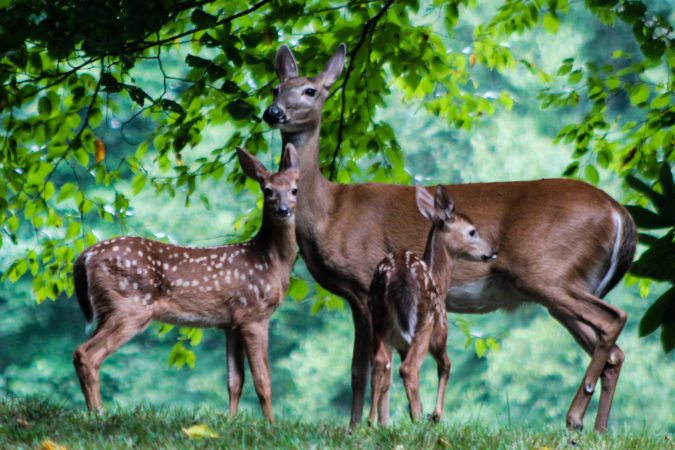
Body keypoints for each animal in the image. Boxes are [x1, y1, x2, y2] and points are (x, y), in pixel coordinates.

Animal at [71, 144, 300, 422]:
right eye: (267, 190)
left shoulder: (231, 323)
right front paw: (271, 424)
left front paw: (231, 421)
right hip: (131, 306)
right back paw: (99, 413)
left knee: (80, 353)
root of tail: (86, 255)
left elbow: (235, 381)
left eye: (294, 189)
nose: (284, 210)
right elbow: (262, 380)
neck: (270, 261)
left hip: (108, 309)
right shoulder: (254, 314)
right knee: (87, 354)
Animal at [369, 185, 496, 425]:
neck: (439, 279)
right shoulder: (441, 332)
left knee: (380, 363)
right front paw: (435, 415)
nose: (493, 251)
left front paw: (413, 413)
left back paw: (371, 422)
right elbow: (446, 366)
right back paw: (419, 421)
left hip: (378, 319)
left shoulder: (401, 344)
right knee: (409, 369)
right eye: (472, 231)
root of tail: (399, 274)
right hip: (425, 321)